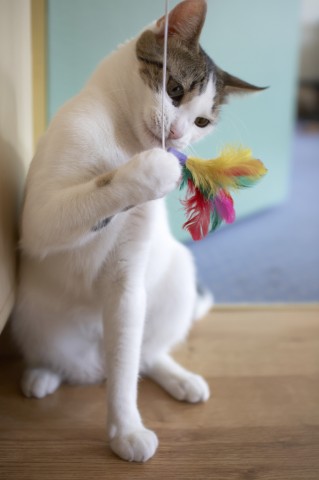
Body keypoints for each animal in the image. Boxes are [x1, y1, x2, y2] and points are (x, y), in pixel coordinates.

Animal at [11, 0, 262, 464]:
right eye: (175, 89)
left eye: (202, 121)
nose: (178, 135)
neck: (123, 143)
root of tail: (91, 362)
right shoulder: (38, 216)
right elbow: (91, 195)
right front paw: (155, 170)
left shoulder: (128, 283)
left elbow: (126, 367)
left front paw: (125, 429)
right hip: (30, 318)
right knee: (60, 358)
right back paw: (42, 374)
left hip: (176, 277)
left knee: (145, 355)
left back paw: (181, 379)